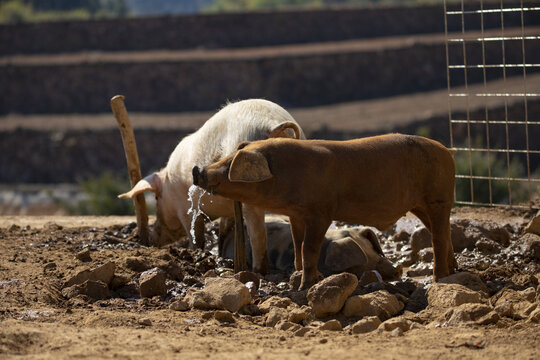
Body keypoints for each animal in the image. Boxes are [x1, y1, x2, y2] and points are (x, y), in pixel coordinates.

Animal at [119, 98, 304, 272]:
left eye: (157, 198)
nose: (153, 240)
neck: (169, 185)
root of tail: (273, 124)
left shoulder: (185, 209)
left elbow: (196, 235)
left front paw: (194, 252)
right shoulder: (228, 212)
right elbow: (224, 230)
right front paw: (221, 253)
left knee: (258, 238)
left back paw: (257, 271)